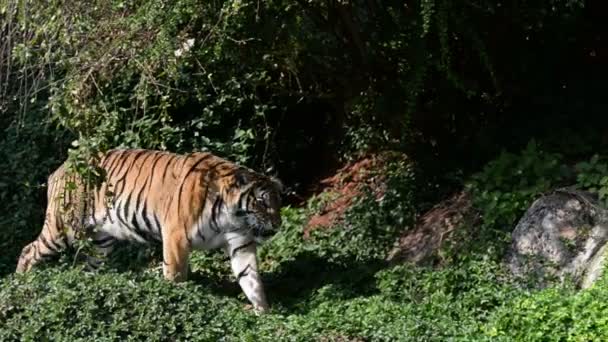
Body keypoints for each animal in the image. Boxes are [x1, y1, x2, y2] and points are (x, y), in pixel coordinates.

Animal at [16, 148, 282, 314]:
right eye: (262, 202)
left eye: (278, 202)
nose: (278, 225)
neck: (232, 217)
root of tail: (60, 169)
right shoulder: (176, 237)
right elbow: (175, 276)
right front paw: (178, 302)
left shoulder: (241, 244)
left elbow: (251, 280)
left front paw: (264, 314)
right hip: (63, 227)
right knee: (28, 250)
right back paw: (20, 285)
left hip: (101, 243)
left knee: (87, 266)